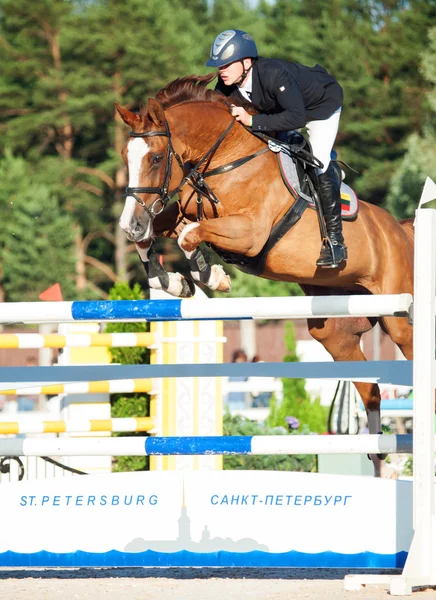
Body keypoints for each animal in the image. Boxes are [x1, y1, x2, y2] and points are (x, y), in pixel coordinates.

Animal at [114, 72, 414, 476]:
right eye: (124, 158)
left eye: (157, 157)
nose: (129, 223)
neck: (225, 160)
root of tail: (401, 230)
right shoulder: (178, 211)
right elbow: (164, 233)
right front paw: (172, 280)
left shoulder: (250, 233)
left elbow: (191, 236)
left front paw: (210, 276)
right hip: (335, 332)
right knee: (371, 389)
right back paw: (378, 457)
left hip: (399, 319)